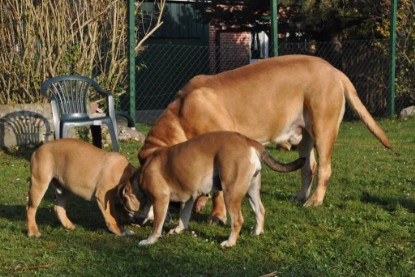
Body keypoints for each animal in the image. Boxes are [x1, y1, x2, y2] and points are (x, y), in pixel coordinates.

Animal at [136, 131, 306, 246]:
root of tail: (249, 141)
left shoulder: (160, 199)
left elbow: (157, 224)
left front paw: (149, 240)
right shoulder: (189, 199)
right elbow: (183, 218)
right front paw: (178, 229)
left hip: (230, 193)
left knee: (237, 219)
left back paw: (229, 243)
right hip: (251, 189)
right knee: (260, 210)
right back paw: (256, 232)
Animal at [138, 54, 392, 224]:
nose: (146, 216)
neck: (181, 118)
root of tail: (334, 70)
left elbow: (218, 190)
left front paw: (217, 215)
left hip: (323, 128)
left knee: (324, 169)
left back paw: (314, 201)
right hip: (305, 136)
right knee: (307, 167)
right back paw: (301, 195)